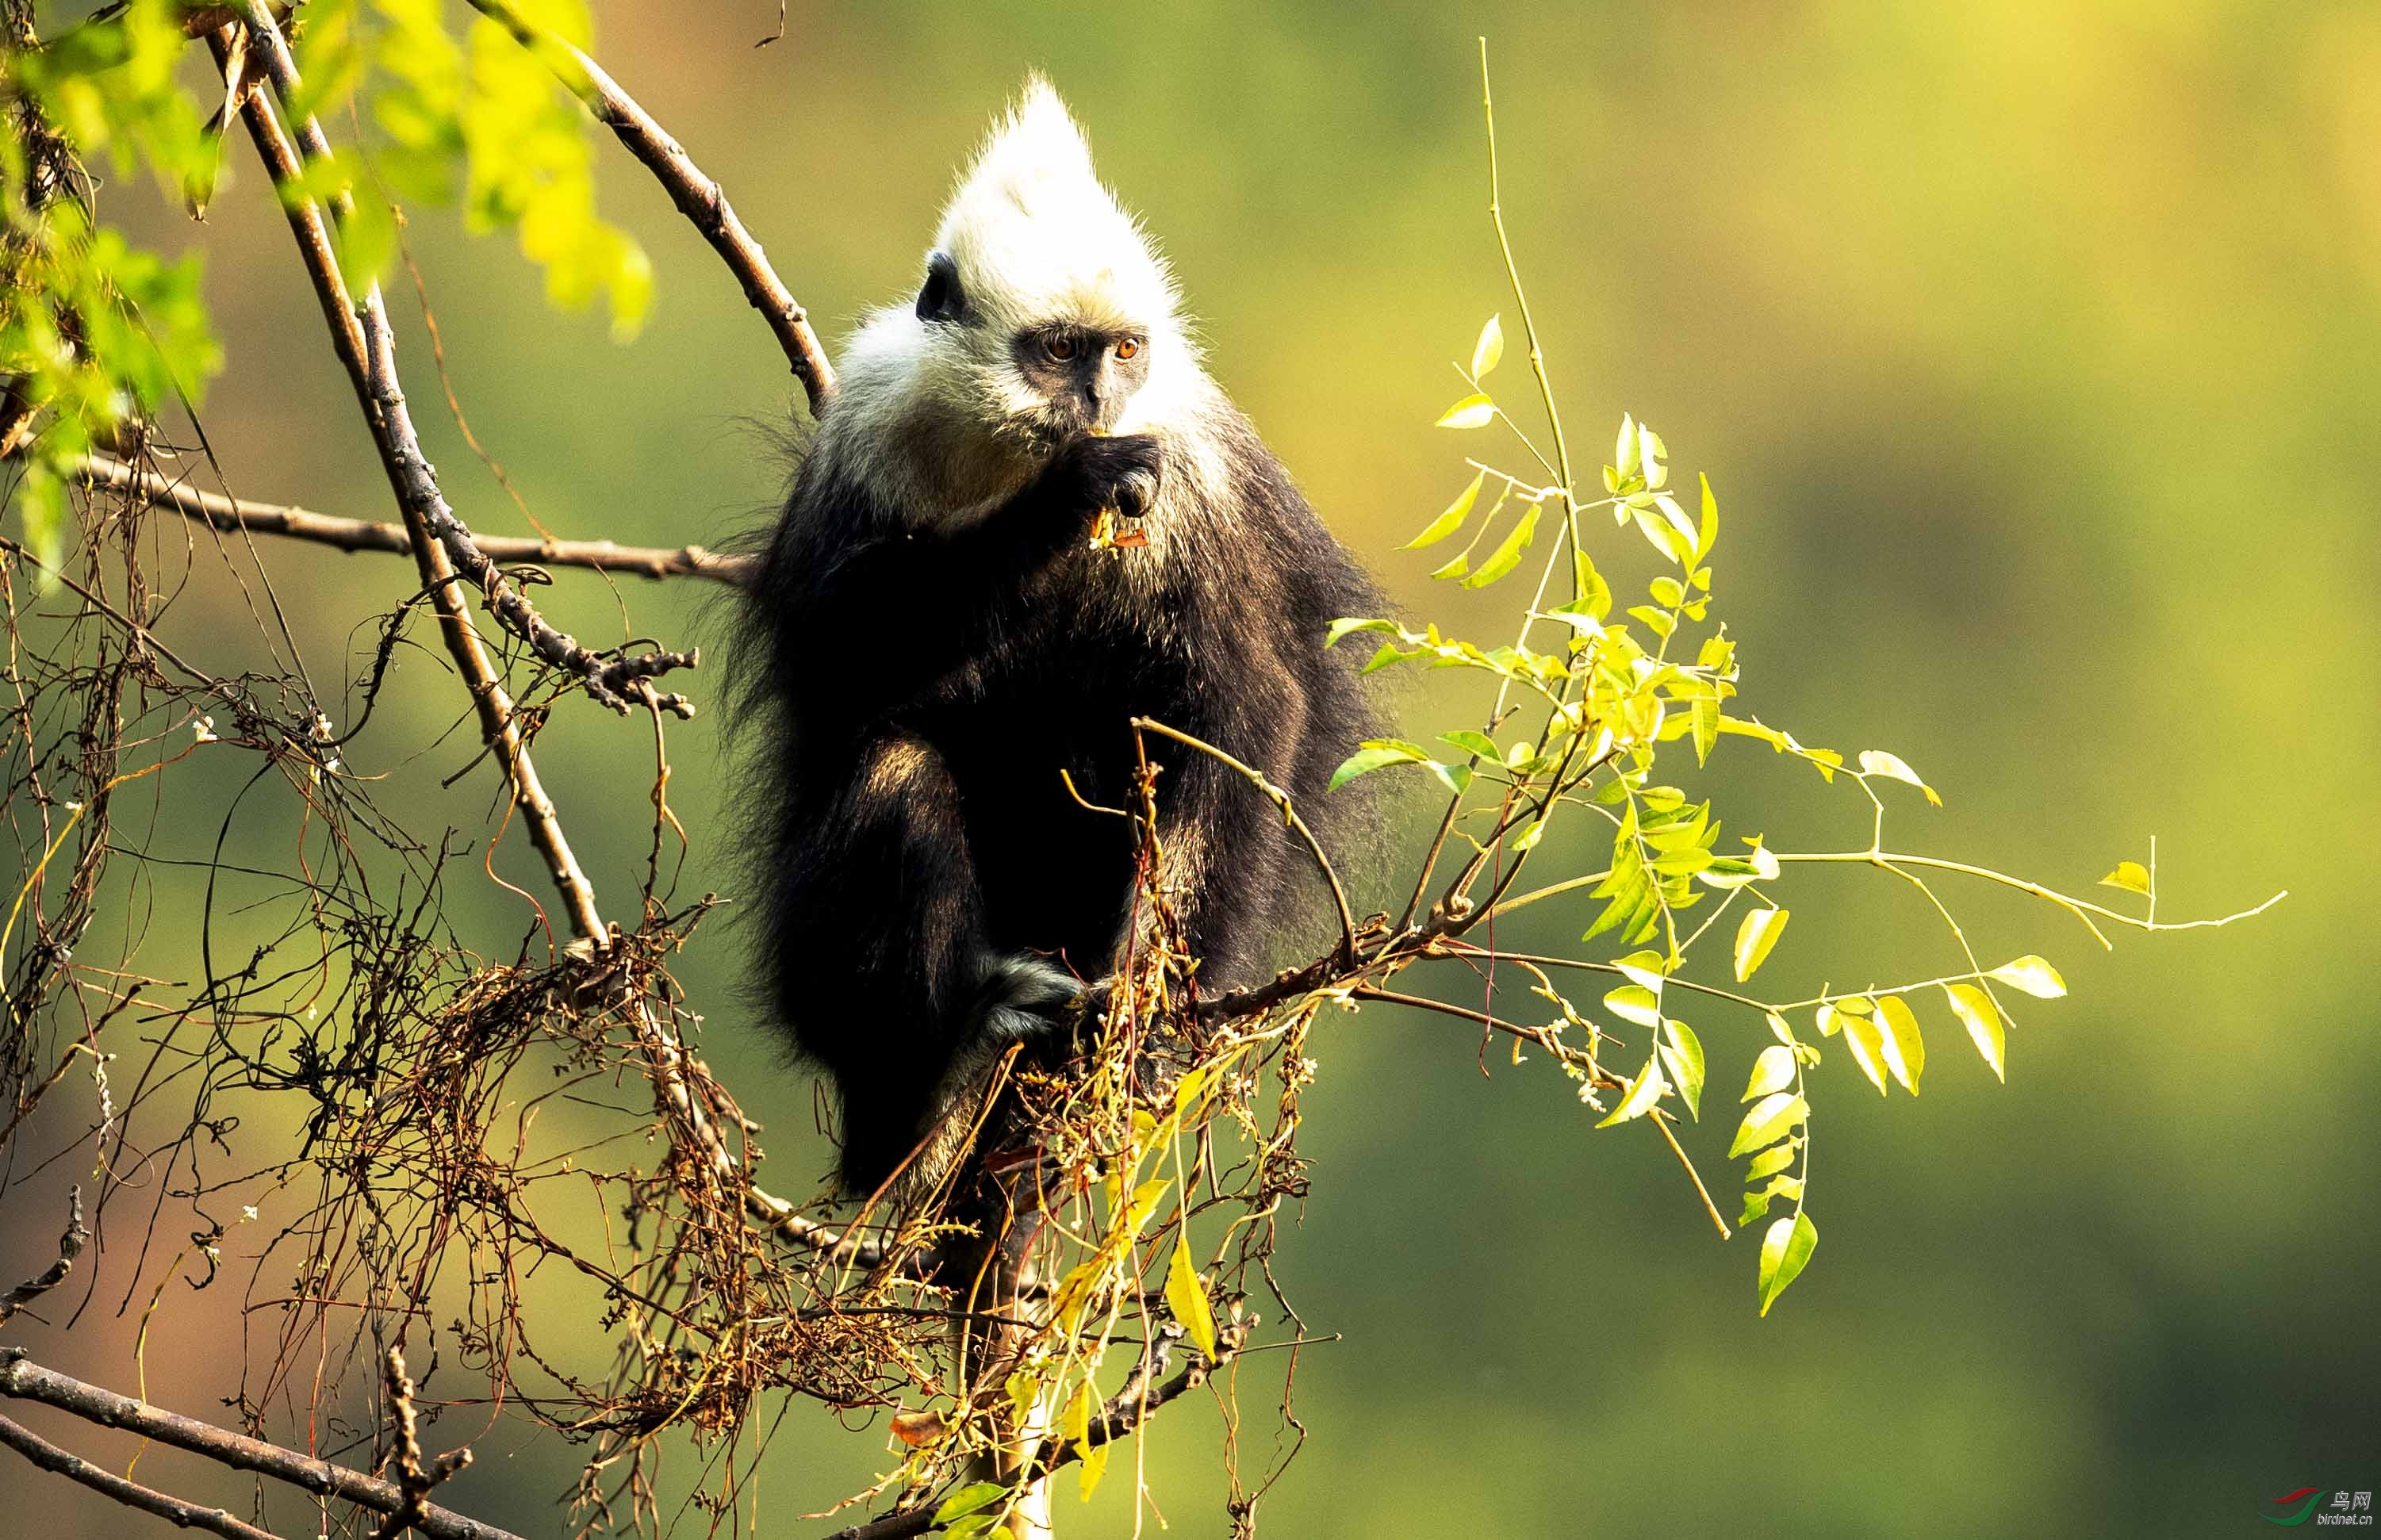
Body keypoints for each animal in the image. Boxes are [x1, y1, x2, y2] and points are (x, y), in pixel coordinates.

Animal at [738, 72, 1381, 1204]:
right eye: (1055, 352)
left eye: (1122, 351)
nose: (1098, 399)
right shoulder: (867, 427)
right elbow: (833, 652)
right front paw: (1063, 495)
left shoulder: (1193, 480)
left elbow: (1245, 711)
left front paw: (1149, 1031)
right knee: (895, 766)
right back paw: (921, 1072)